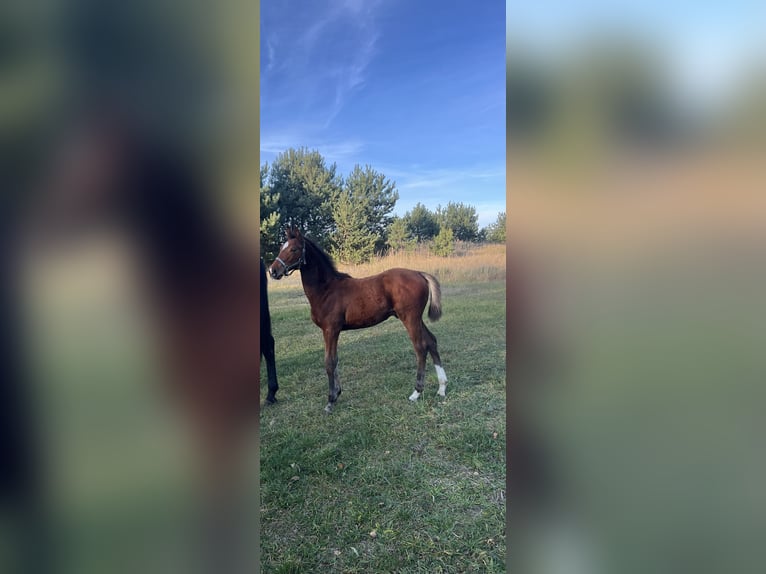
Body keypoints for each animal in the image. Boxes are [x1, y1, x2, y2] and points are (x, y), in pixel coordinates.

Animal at [269, 226, 447, 413]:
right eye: (281, 247)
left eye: (294, 249)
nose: (273, 271)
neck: (326, 290)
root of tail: (419, 273)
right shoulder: (333, 331)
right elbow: (335, 359)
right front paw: (337, 393)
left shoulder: (330, 329)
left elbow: (329, 362)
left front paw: (330, 401)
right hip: (416, 318)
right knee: (431, 341)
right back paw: (442, 388)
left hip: (409, 318)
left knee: (420, 347)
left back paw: (416, 392)